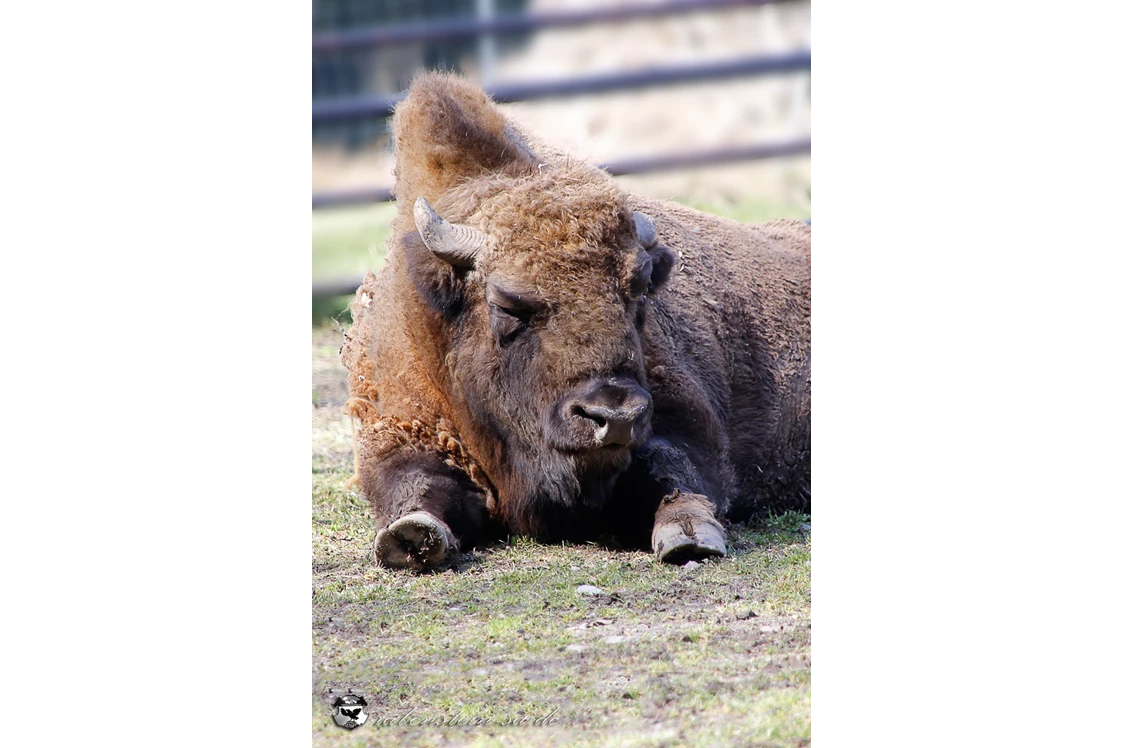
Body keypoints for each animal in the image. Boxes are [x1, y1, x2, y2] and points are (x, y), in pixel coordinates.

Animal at [336, 73, 813, 568]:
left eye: (639, 290)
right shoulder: (397, 431)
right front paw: (411, 536)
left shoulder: (684, 425)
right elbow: (415, 485)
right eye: (507, 304)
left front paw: (689, 536)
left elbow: (675, 471)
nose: (613, 415)